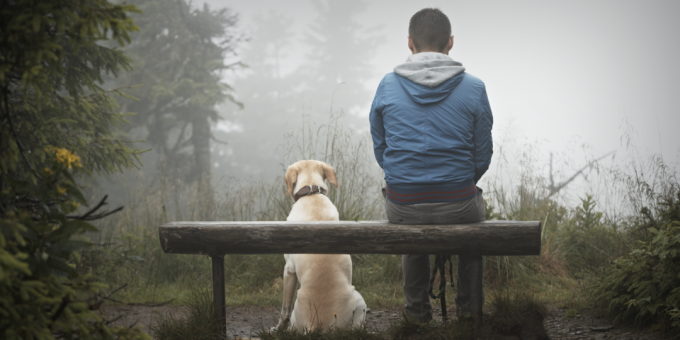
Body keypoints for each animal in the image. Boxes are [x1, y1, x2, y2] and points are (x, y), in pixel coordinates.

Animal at [274, 160, 366, 332]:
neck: (311, 194)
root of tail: (318, 326)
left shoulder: (289, 269)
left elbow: (284, 309)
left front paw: (278, 329)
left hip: (359, 300)